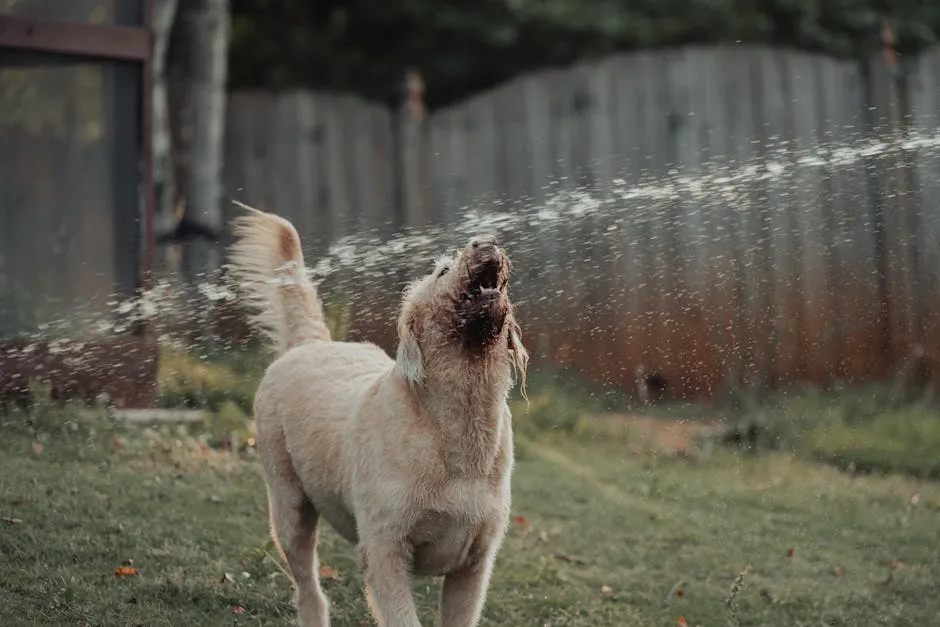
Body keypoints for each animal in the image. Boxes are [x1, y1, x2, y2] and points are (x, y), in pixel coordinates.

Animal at [225, 207, 524, 627]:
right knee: (307, 585)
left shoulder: (474, 565)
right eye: (443, 271)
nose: (487, 241)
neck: (453, 427)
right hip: (288, 507)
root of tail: (311, 342)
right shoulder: (385, 552)